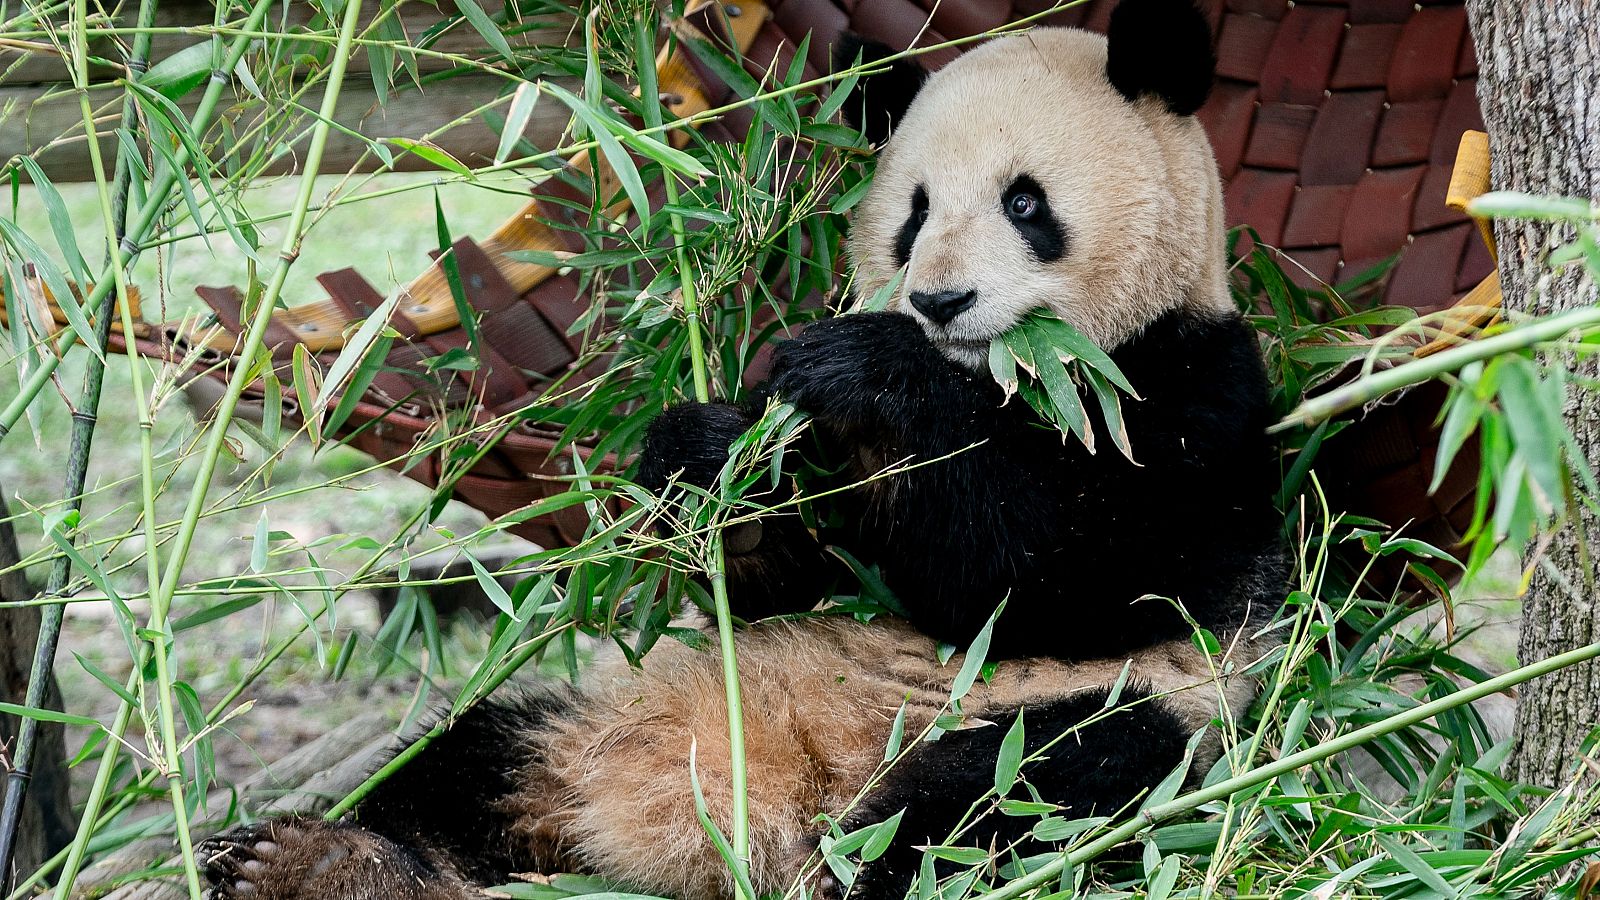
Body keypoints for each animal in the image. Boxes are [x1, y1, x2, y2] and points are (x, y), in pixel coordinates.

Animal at [196, 5, 1286, 896]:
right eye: (914, 213)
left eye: (1026, 203)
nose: (940, 302)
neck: (1008, 376)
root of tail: (761, 818)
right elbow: (796, 569)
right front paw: (708, 457)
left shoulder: (1195, 391)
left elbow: (1066, 575)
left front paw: (870, 366)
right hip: (598, 719)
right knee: (466, 759)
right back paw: (318, 865)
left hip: (1090, 724)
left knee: (1016, 793)